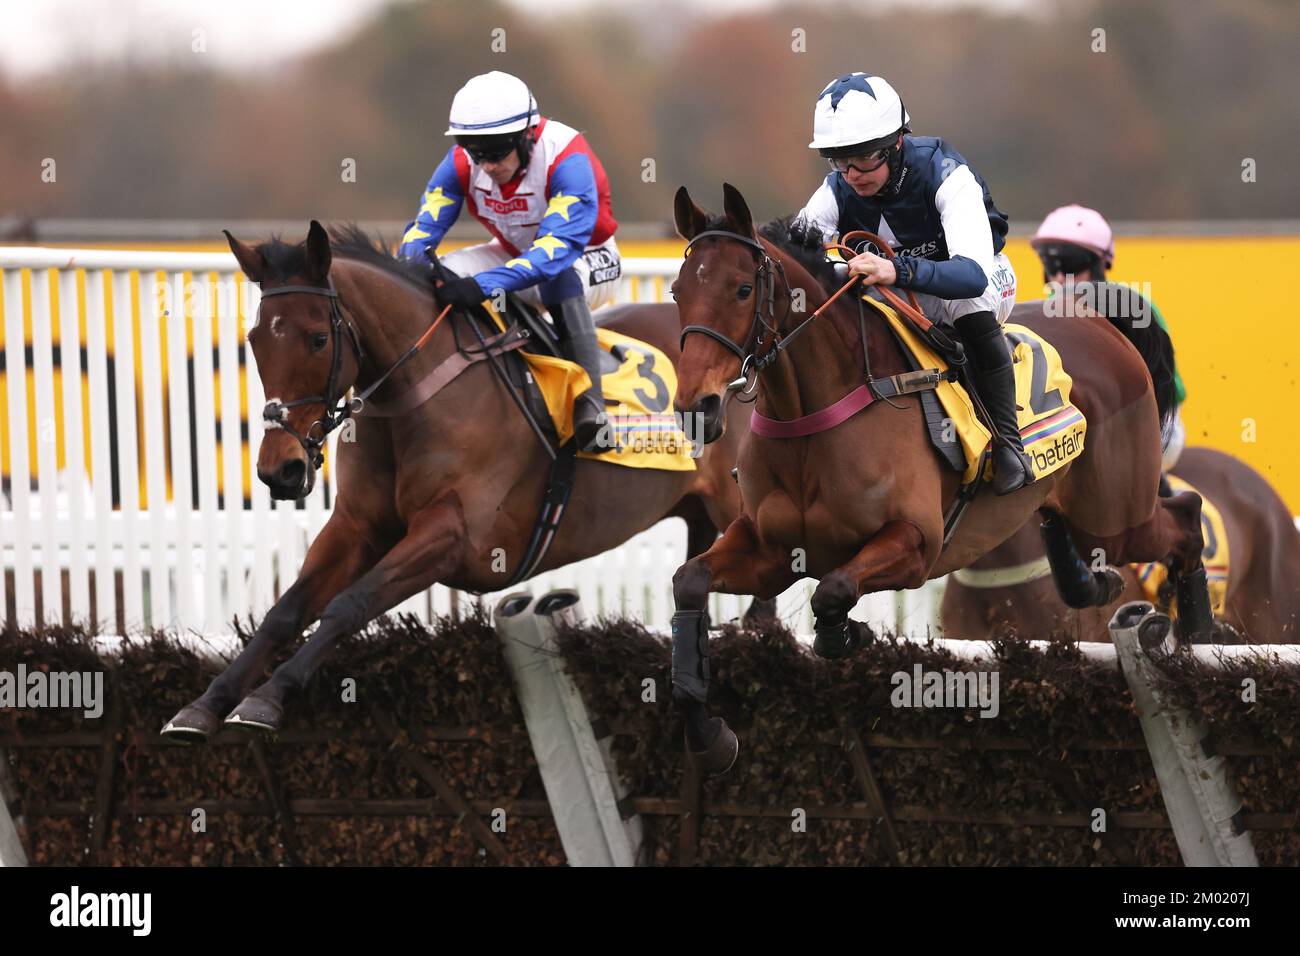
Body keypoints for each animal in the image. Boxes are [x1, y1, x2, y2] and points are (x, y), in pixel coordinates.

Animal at [159, 222, 759, 738]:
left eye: (315, 340)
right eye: (256, 339)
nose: (277, 468)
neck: (415, 392)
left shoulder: (452, 535)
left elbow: (350, 603)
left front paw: (267, 697)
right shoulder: (356, 526)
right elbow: (284, 612)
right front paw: (205, 703)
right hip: (702, 517)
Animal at [665, 183, 1211, 775]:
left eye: (743, 289)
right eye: (677, 291)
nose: (698, 408)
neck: (818, 411)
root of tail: (1102, 323)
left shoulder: (916, 543)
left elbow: (833, 590)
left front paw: (848, 633)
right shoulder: (770, 551)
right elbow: (688, 582)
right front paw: (708, 735)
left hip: (1116, 514)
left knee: (1186, 517)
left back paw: (1199, 632)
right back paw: (1100, 585)